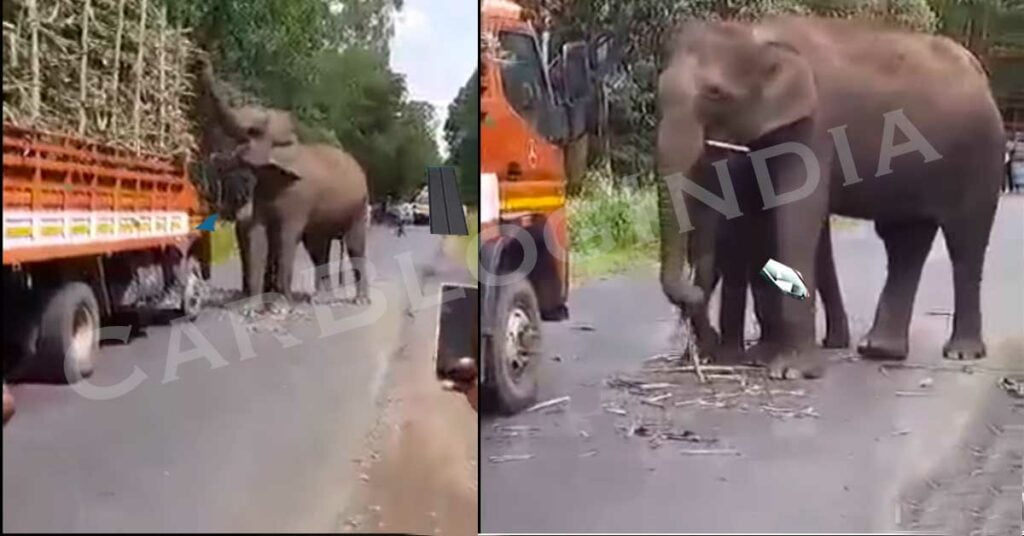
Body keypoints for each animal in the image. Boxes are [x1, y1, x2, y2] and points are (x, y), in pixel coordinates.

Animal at [196, 57, 372, 305]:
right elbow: (258, 236)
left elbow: (286, 237)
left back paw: (359, 300)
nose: (201, 60)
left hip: (359, 206)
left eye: (255, 130)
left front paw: (282, 305)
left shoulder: (299, 196)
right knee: (318, 249)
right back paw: (319, 298)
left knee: (355, 246)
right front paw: (251, 307)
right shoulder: (261, 196)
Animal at [655, 15, 999, 377]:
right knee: (905, 241)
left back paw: (961, 352)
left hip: (982, 154)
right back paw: (879, 350)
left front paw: (790, 371)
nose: (692, 291)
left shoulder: (815, 126)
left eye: (716, 93)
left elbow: (796, 217)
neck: (759, 35)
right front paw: (761, 358)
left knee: (965, 242)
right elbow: (761, 215)